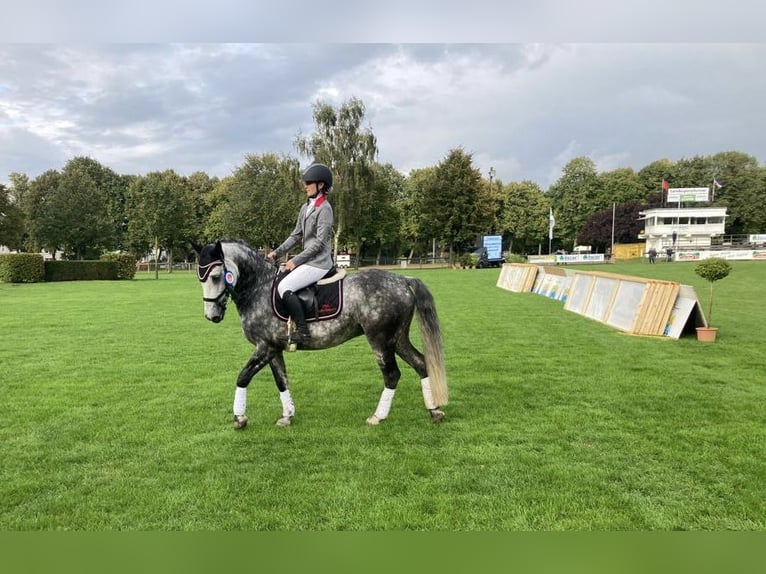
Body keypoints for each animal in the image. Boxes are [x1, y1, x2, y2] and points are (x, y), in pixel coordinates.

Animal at [196, 241, 450, 430]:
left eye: (216, 276)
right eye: (200, 278)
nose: (212, 316)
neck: (258, 287)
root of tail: (404, 280)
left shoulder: (264, 347)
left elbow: (242, 377)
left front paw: (239, 419)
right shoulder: (273, 349)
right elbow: (281, 381)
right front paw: (287, 415)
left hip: (380, 339)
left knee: (392, 375)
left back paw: (378, 417)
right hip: (396, 338)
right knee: (421, 363)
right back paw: (434, 411)